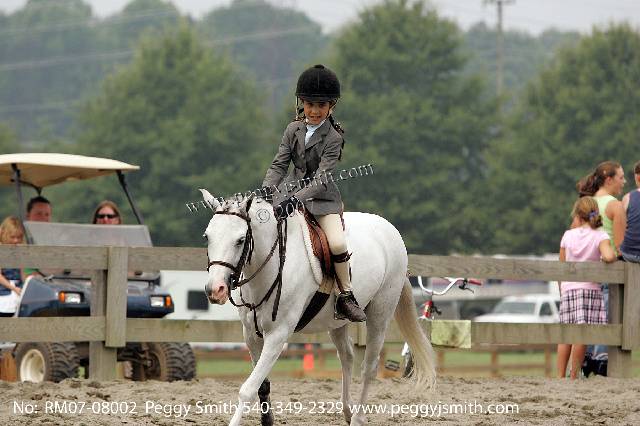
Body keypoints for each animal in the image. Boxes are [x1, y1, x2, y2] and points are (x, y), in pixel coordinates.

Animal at [199, 189, 435, 426]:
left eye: (240, 240)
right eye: (207, 237)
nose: (215, 289)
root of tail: (389, 229)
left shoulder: (278, 335)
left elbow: (247, 389)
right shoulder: (251, 335)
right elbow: (261, 384)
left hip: (380, 314)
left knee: (369, 367)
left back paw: (358, 418)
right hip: (337, 321)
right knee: (347, 356)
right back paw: (347, 410)